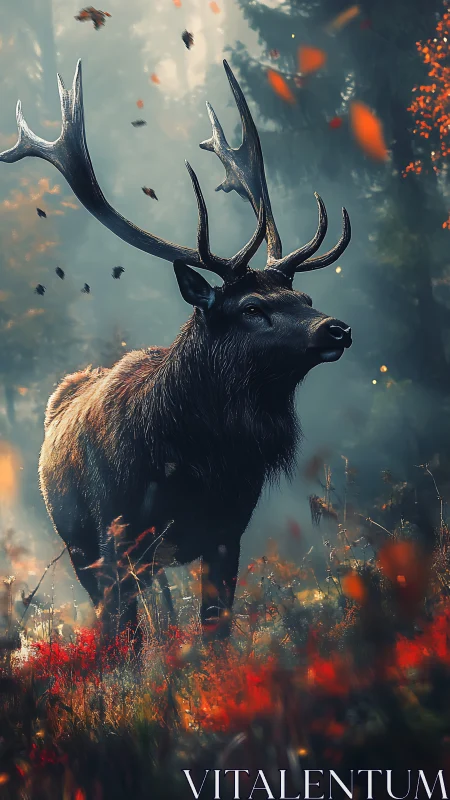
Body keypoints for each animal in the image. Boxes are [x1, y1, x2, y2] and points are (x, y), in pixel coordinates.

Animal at [0, 60, 352, 645]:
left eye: (303, 299)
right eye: (252, 306)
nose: (337, 328)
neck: (190, 461)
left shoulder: (228, 531)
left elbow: (214, 630)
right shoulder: (114, 535)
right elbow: (125, 637)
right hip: (81, 548)